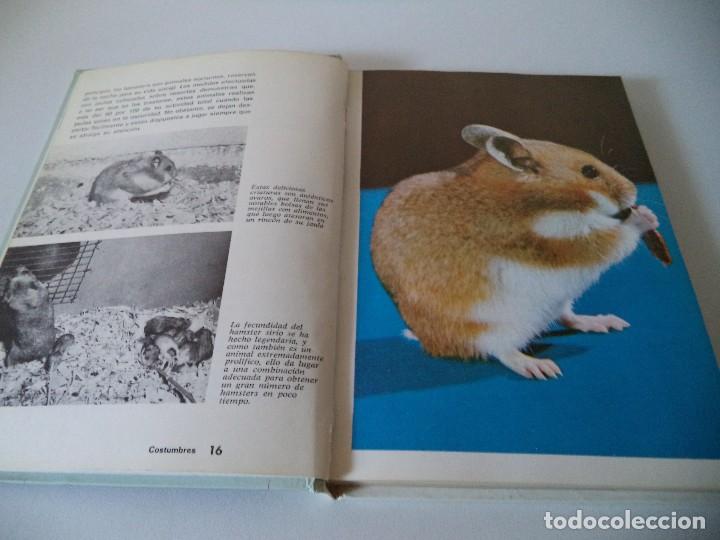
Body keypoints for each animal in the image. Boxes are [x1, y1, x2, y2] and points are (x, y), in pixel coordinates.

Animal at [371, 124, 660, 380]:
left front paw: (648, 213)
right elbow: (617, 236)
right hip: (489, 328)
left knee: (568, 318)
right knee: (501, 351)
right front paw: (645, 217)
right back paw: (540, 368)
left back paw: (608, 322)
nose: (633, 190)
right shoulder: (567, 243)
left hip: (556, 301)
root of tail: (431, 342)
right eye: (589, 171)